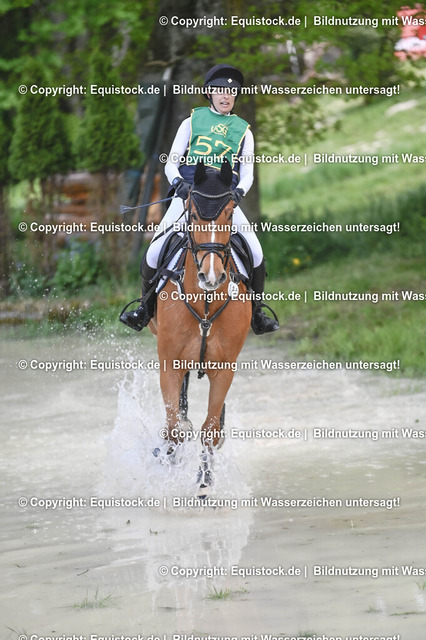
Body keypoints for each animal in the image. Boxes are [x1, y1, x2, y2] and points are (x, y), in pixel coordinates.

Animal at [148, 159, 251, 490]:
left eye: (230, 213)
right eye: (193, 215)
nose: (212, 276)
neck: (205, 304)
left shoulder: (224, 370)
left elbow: (210, 430)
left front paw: (204, 481)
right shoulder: (169, 363)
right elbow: (174, 429)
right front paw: (168, 457)